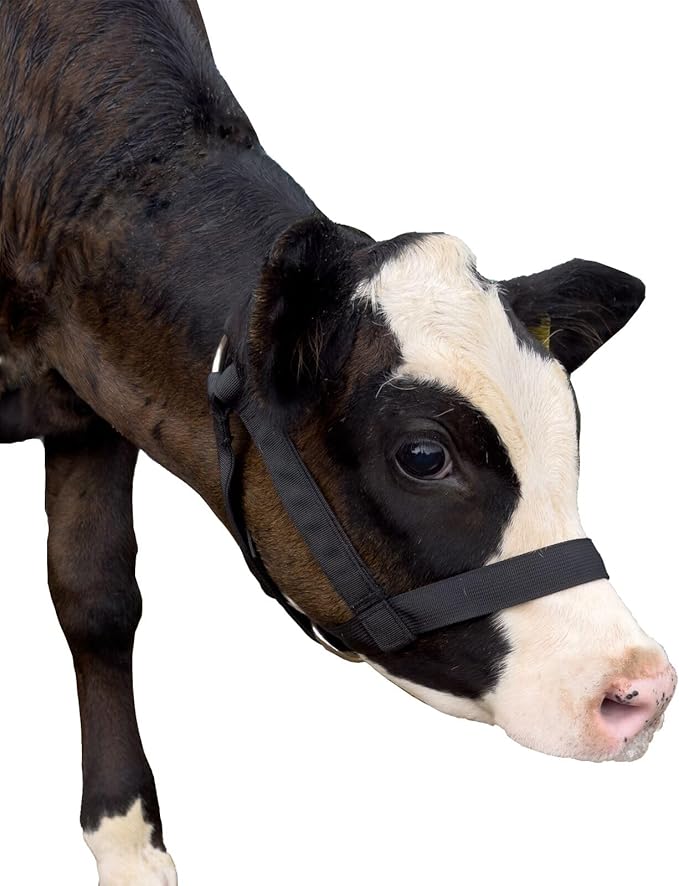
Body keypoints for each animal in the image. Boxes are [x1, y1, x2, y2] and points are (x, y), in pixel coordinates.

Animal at [0, 1, 675, 882]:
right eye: (423, 455)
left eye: (572, 433)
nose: (638, 690)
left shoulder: (90, 400)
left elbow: (97, 597)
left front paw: (127, 845)